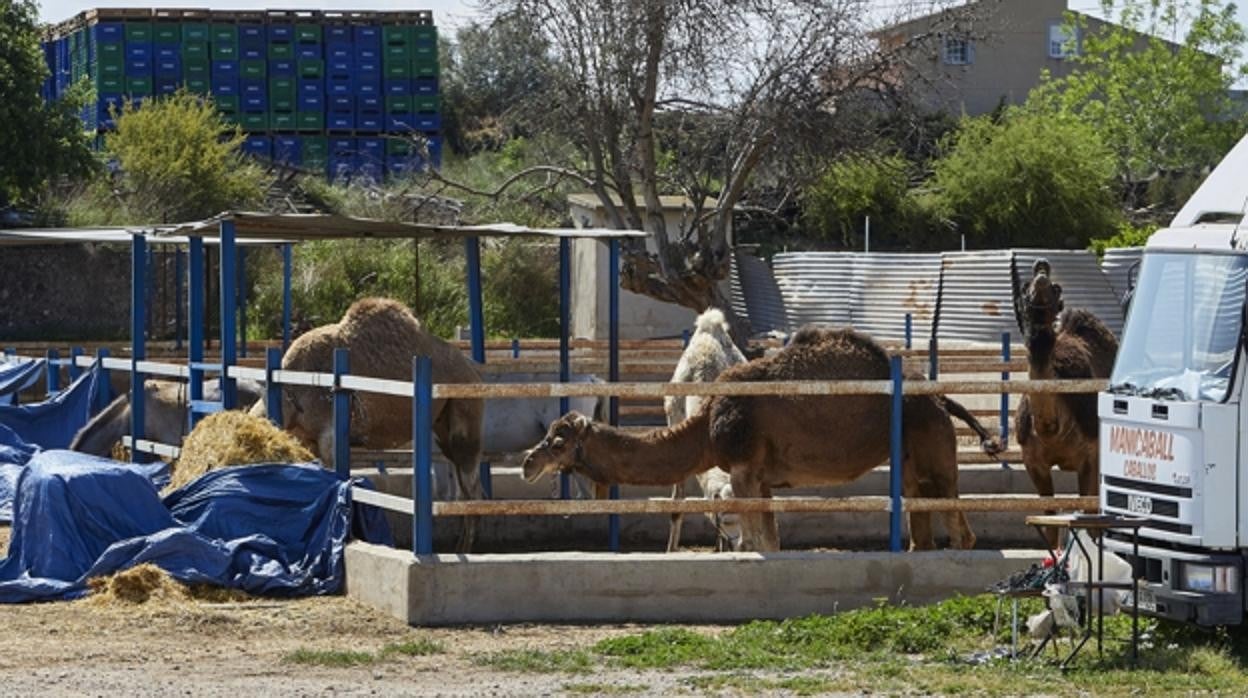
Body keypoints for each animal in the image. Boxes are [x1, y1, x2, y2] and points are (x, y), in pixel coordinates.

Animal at [250, 297, 484, 554]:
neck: (291, 390)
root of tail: (474, 371)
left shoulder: (329, 435)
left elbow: (339, 476)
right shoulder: (307, 439)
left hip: (465, 415)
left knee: (471, 484)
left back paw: (465, 549)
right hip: (443, 426)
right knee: (465, 489)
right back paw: (460, 548)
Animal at [1013, 259, 1123, 544]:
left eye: (1056, 289)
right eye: (1025, 289)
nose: (1041, 269)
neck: (1051, 427)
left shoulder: (1090, 456)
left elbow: (1092, 520)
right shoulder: (1033, 461)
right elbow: (1050, 521)